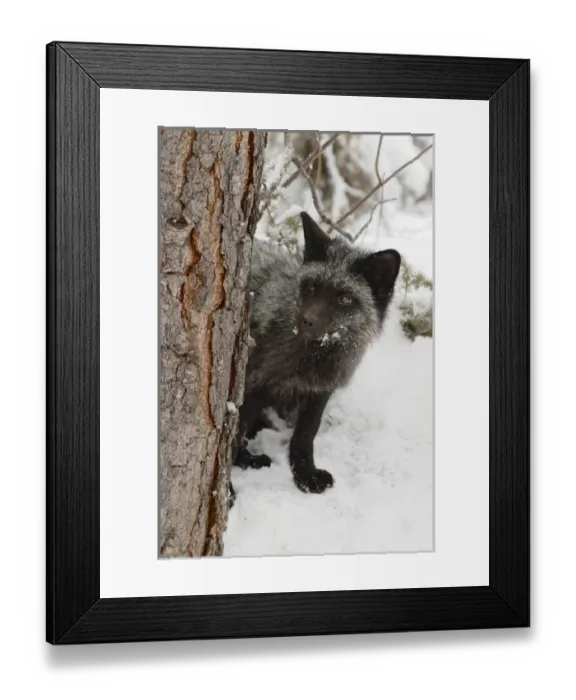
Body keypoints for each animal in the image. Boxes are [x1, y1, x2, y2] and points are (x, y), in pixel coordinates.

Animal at [230, 211, 401, 503]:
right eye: (310, 287)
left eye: (345, 299)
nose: (306, 321)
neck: (314, 356)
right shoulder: (253, 386)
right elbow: (229, 439)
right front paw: (225, 489)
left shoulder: (319, 392)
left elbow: (305, 435)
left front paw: (305, 475)